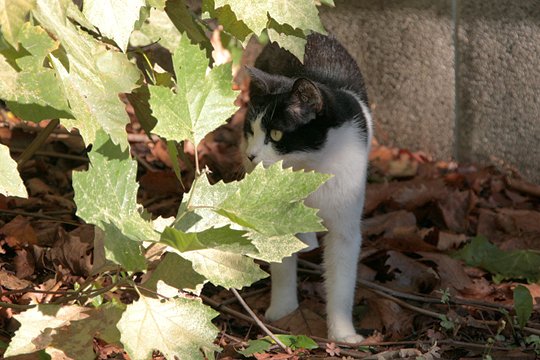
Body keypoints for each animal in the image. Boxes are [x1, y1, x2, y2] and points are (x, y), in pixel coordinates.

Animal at [243, 34, 374, 344]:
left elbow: (342, 280)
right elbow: (281, 263)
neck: (310, 170)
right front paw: (283, 312)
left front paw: (343, 334)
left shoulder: (346, 222)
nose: (250, 156)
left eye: (276, 134)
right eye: (250, 130)